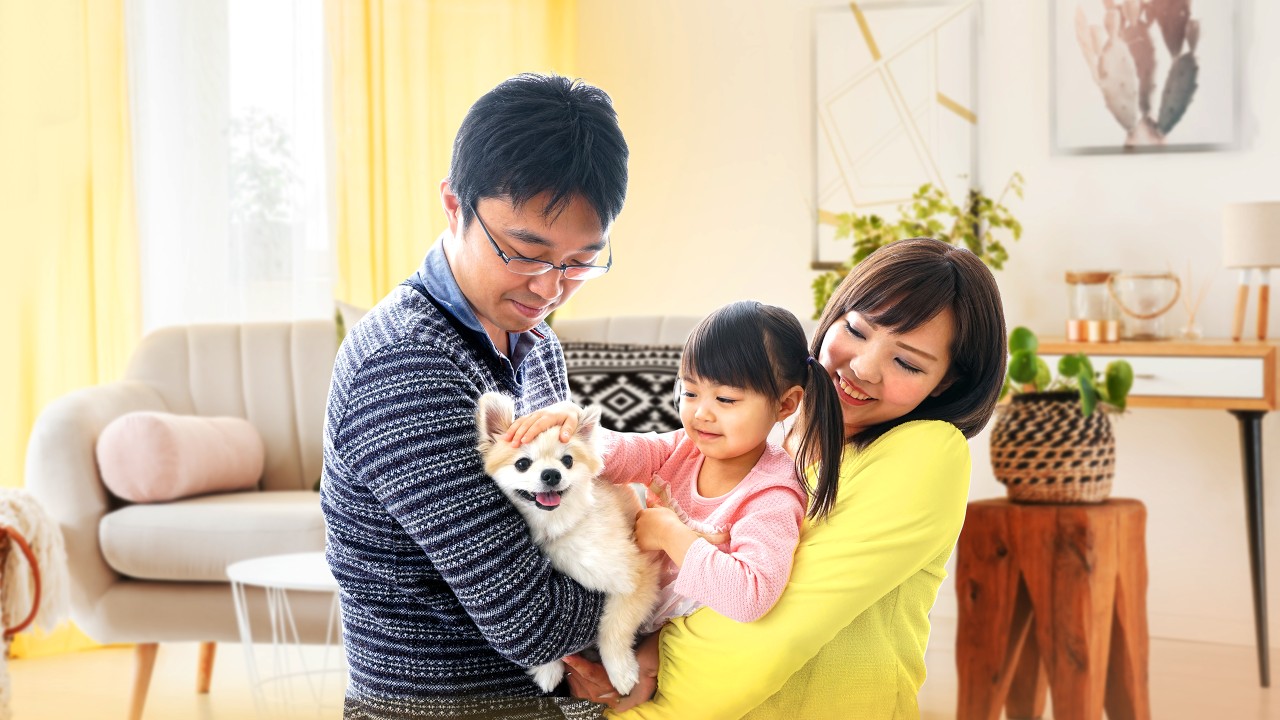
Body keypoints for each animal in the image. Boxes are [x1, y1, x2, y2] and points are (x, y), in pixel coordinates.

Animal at [478, 392, 660, 696]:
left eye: (567, 461)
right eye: (522, 464)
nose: (552, 474)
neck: (558, 525)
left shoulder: (637, 576)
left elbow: (614, 628)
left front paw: (621, 671)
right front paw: (547, 670)